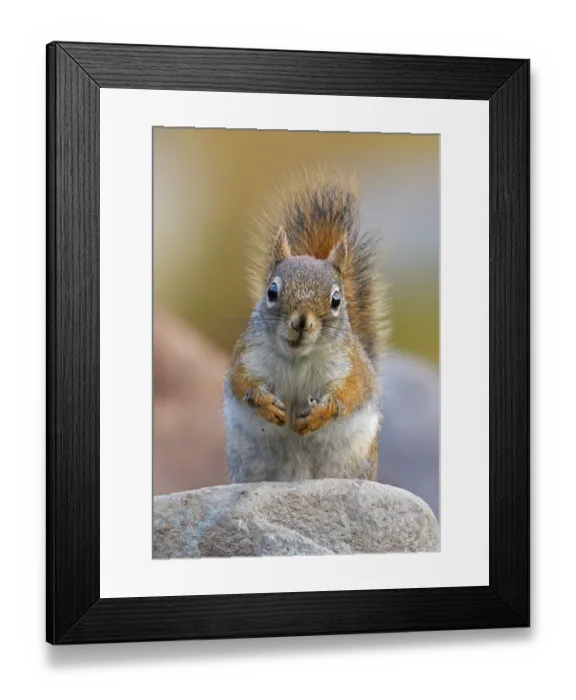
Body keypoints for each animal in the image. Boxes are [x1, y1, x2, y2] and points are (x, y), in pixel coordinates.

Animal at [223, 169, 390, 484]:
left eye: (336, 299)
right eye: (272, 291)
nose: (301, 321)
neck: (297, 358)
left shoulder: (351, 366)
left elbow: (351, 393)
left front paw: (321, 413)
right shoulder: (247, 356)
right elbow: (241, 382)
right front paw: (265, 403)